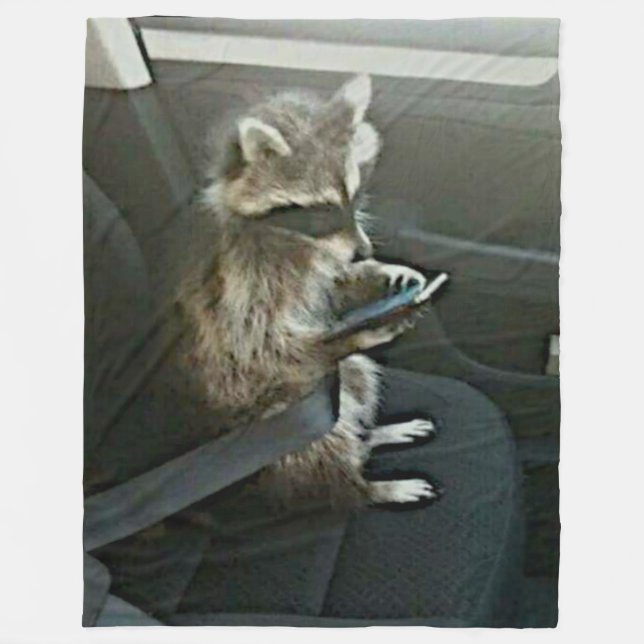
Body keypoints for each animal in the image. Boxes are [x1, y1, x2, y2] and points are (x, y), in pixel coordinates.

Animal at [177, 75, 437, 510]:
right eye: (322, 210)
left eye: (357, 194)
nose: (365, 251)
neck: (296, 236)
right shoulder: (247, 275)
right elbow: (263, 345)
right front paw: (363, 329)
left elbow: (333, 286)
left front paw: (381, 272)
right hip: (281, 422)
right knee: (323, 443)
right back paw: (365, 486)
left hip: (340, 384)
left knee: (358, 377)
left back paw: (371, 436)